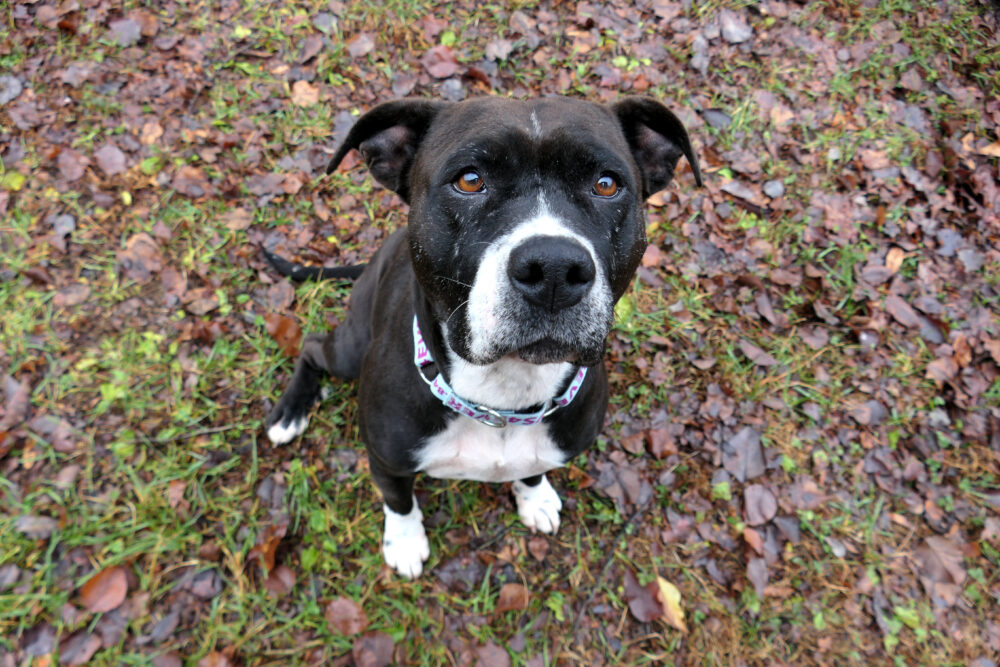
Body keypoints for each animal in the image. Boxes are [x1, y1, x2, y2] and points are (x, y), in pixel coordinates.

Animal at [265, 96, 701, 578]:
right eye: (470, 180)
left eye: (606, 185)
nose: (553, 268)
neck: (502, 400)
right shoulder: (386, 459)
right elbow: (398, 500)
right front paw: (404, 541)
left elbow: (532, 469)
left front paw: (534, 497)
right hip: (351, 347)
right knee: (311, 346)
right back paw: (290, 413)